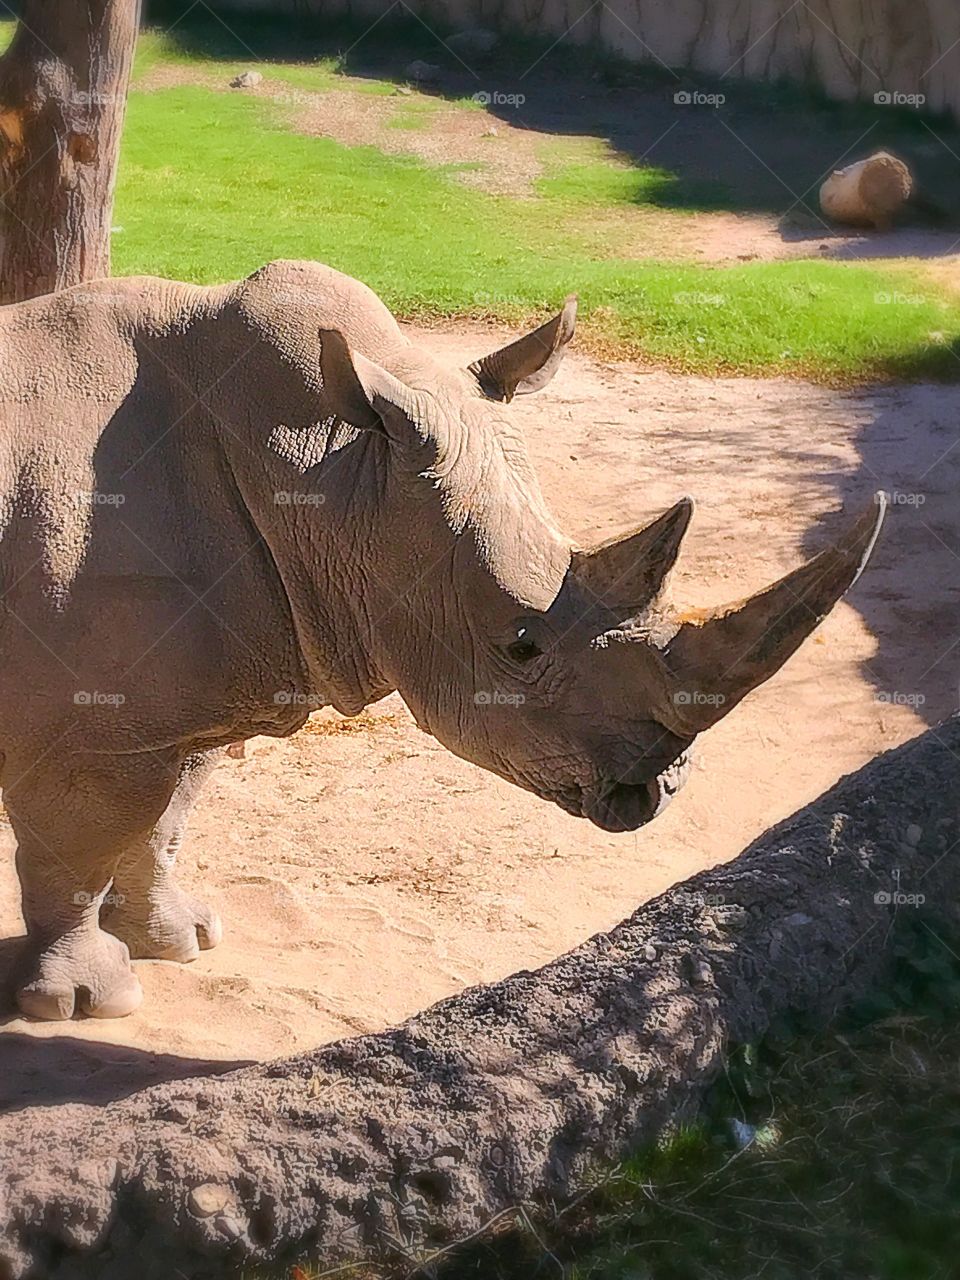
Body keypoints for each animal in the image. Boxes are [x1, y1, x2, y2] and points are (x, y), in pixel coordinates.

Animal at [0, 259, 884, 1020]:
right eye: (522, 647)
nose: (659, 791)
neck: (331, 475)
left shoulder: (192, 694)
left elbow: (164, 822)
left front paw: (181, 940)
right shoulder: (92, 725)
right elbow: (81, 847)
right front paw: (87, 1003)